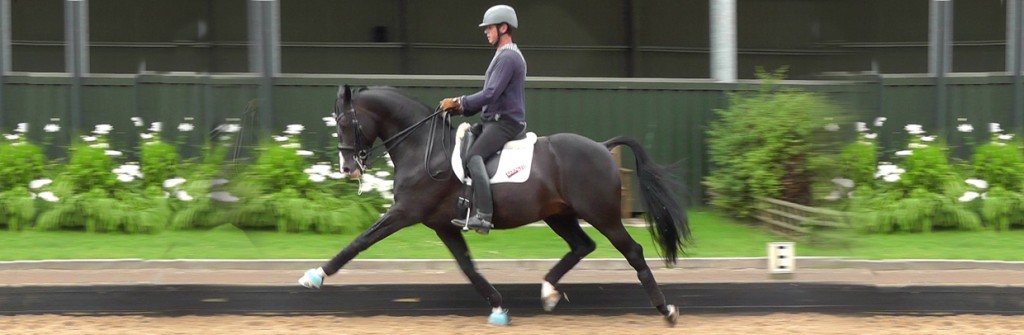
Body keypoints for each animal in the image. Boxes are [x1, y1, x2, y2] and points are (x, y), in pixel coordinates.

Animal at [299, 85, 692, 327]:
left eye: (345, 122)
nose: (348, 169)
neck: (422, 145)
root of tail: (601, 146)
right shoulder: (441, 224)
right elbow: (468, 267)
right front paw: (500, 308)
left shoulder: (406, 212)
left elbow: (360, 241)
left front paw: (315, 275)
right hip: (558, 215)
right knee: (583, 245)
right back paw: (548, 290)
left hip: (602, 215)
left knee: (633, 251)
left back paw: (666, 310)